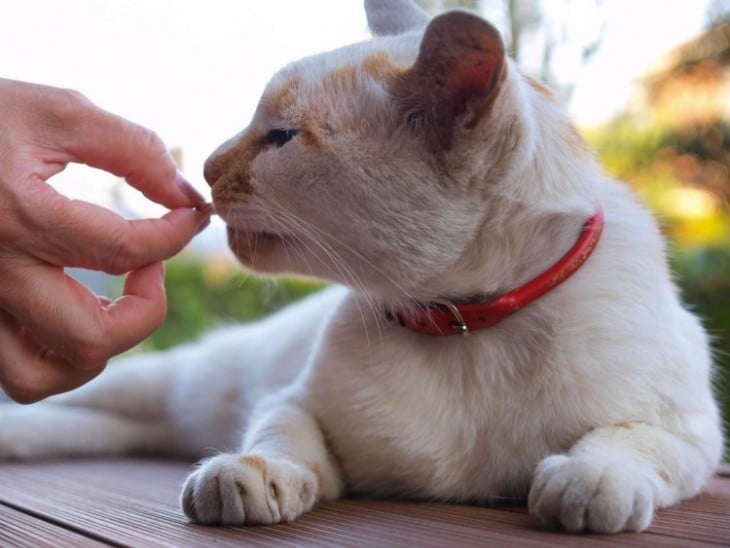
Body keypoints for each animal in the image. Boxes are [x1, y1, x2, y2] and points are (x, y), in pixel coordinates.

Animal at [0, 0, 720, 532]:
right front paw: (248, 478)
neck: (463, 320)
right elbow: (279, 440)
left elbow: (624, 445)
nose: (203, 168)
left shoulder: (690, 434)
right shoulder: (293, 403)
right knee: (69, 410)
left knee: (89, 427)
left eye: (281, 137)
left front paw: (586, 485)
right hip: (167, 382)